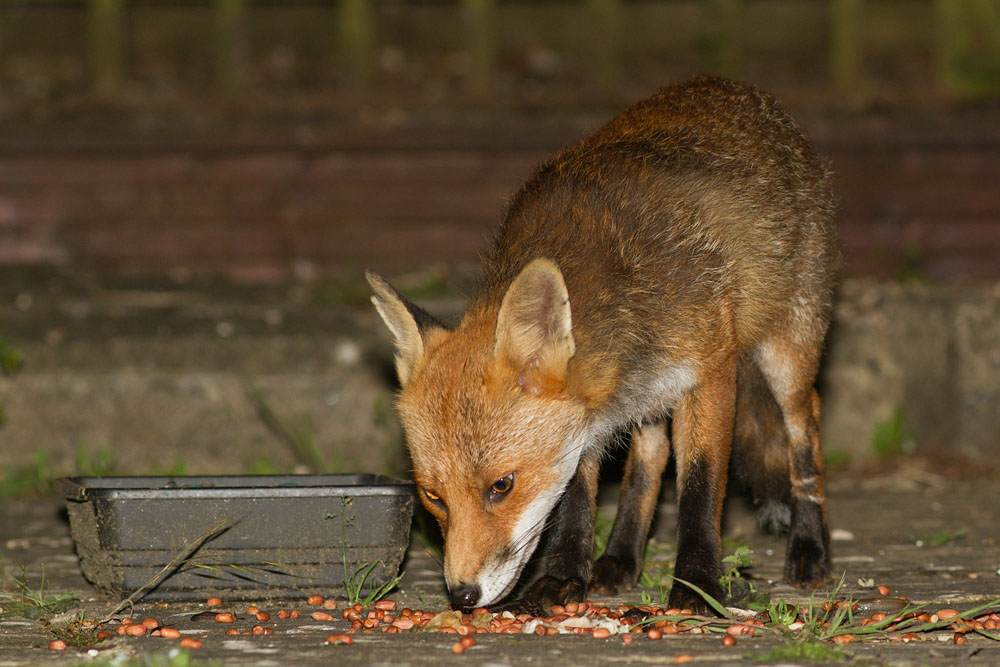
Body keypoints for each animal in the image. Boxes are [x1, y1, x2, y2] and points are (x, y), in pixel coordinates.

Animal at [367, 76, 838, 615]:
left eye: (501, 486)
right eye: (433, 496)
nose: (464, 596)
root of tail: (735, 89)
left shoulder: (712, 373)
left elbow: (700, 488)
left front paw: (698, 585)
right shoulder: (585, 416)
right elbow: (577, 498)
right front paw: (565, 579)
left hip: (786, 357)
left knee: (804, 427)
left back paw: (810, 546)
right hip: (654, 401)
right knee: (648, 460)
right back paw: (619, 558)